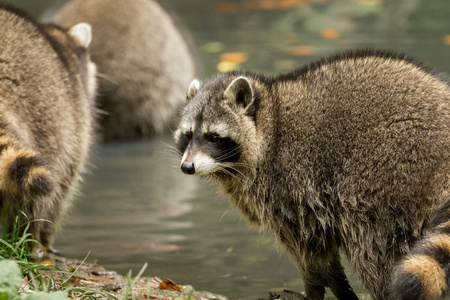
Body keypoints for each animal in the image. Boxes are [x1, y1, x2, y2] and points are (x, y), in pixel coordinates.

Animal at [0, 4, 98, 252]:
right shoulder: (75, 122)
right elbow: (62, 192)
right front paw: (45, 236)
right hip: (46, 123)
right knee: (35, 200)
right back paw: (29, 239)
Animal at [175, 49, 450, 300]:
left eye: (214, 137)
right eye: (188, 135)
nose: (187, 167)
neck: (270, 123)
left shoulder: (293, 187)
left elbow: (310, 251)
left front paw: (316, 288)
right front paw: (339, 288)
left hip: (387, 170)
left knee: (371, 246)